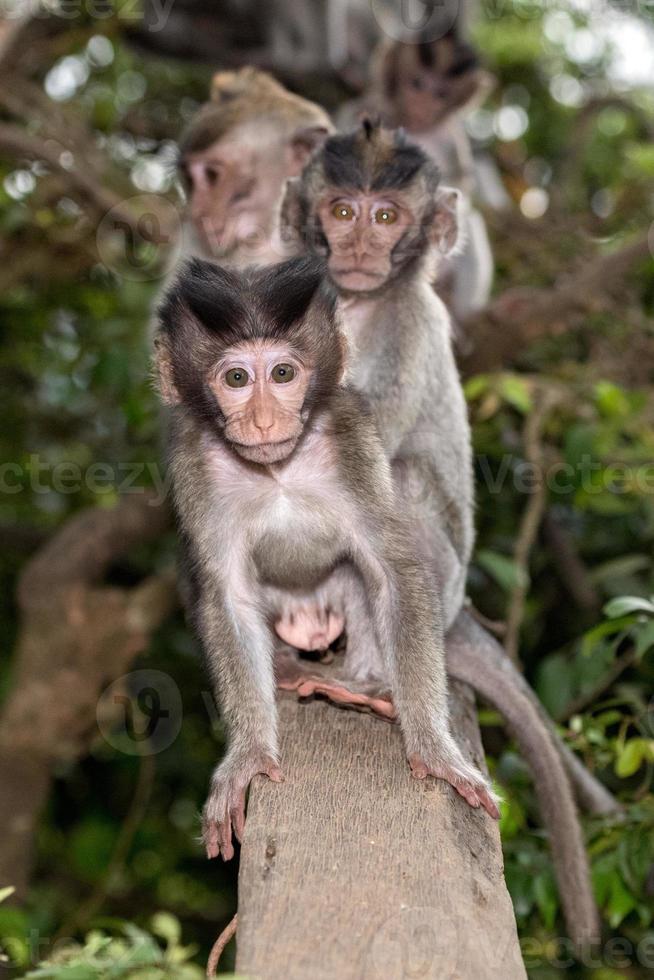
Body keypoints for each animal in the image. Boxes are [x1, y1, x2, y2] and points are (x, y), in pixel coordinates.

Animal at [155, 256, 502, 860]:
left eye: (283, 374)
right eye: (237, 379)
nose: (265, 420)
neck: (277, 469)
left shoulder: (352, 439)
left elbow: (390, 567)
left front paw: (434, 748)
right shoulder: (192, 462)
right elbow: (227, 595)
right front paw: (248, 757)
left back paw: (362, 686)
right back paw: (291, 668)